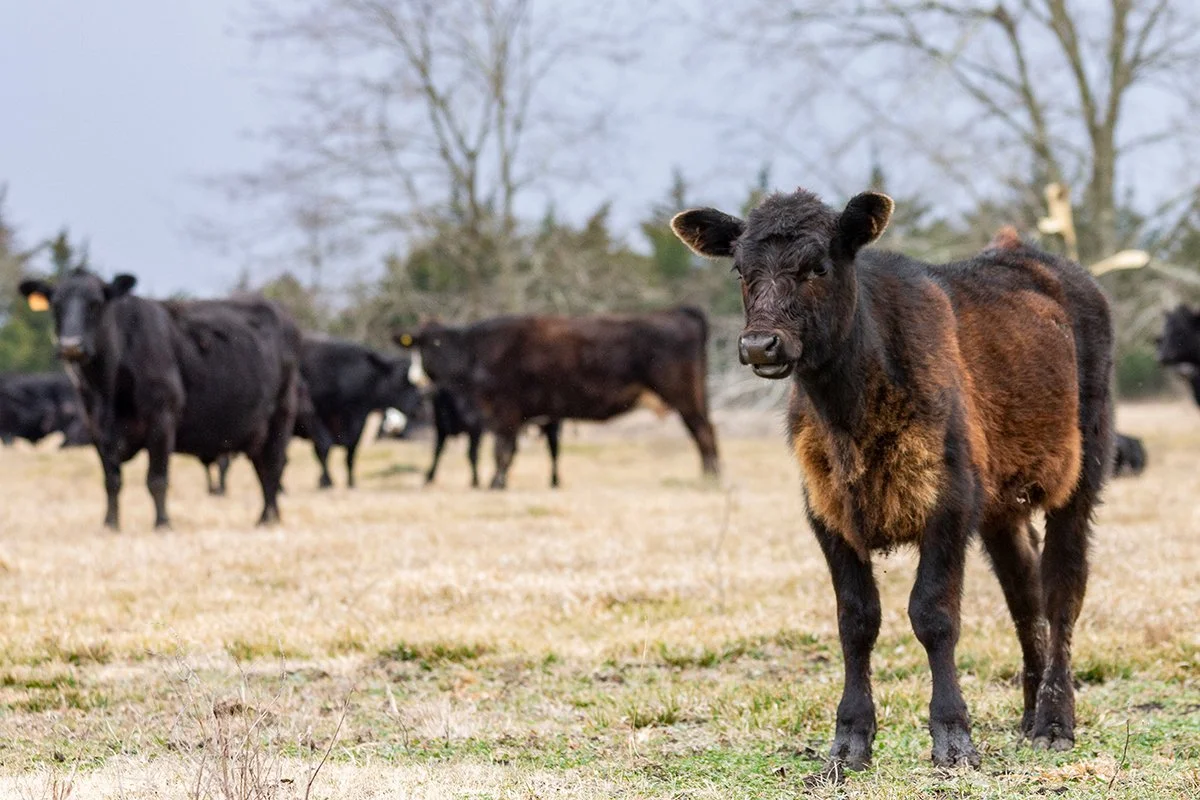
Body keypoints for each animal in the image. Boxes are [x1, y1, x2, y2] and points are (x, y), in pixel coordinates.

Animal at [19, 268, 302, 530]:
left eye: (95, 303)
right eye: (56, 305)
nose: (71, 346)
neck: (108, 388)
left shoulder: (162, 420)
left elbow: (156, 478)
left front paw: (162, 523)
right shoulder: (97, 429)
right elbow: (112, 481)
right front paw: (110, 524)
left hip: (280, 417)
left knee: (273, 467)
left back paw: (266, 518)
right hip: (256, 432)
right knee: (263, 470)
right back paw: (270, 517)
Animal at [394, 307, 719, 489]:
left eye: (435, 342)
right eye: (420, 342)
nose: (414, 376)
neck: (476, 351)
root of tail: (677, 312)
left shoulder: (505, 412)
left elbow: (502, 451)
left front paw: (495, 483)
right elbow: (509, 452)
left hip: (685, 396)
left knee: (703, 432)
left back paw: (710, 477)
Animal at [672, 189, 1112, 775]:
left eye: (818, 266)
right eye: (741, 271)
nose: (761, 344)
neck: (849, 412)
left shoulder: (949, 501)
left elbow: (933, 614)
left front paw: (953, 737)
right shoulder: (827, 509)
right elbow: (857, 619)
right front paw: (849, 742)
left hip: (1082, 474)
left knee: (1063, 589)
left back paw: (1054, 724)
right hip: (1000, 504)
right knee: (1025, 591)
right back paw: (1027, 716)